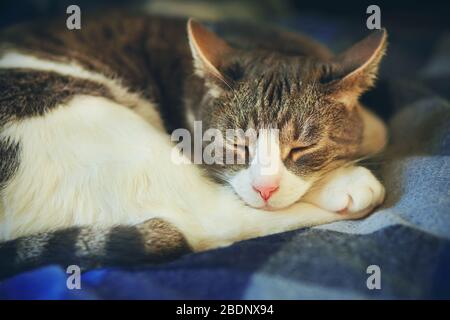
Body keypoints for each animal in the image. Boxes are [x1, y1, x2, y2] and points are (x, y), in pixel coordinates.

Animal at [0, 12, 386, 278]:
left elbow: (378, 129)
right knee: (211, 220)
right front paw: (343, 180)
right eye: (236, 144)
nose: (265, 189)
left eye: (301, 149)